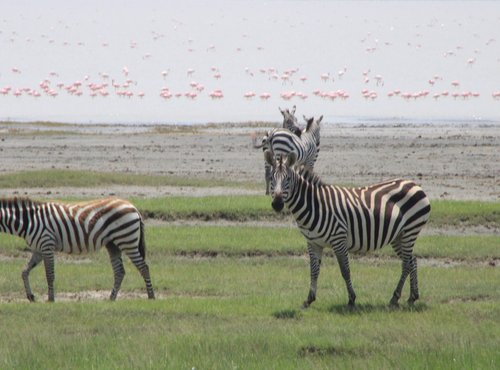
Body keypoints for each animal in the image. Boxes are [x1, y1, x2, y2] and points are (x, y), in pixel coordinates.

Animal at [0, 197, 155, 300]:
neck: (29, 221)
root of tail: (133, 207)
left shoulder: (47, 245)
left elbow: (49, 275)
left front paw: (51, 300)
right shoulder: (38, 250)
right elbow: (24, 272)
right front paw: (31, 296)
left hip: (127, 240)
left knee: (144, 267)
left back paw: (151, 296)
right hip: (113, 244)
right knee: (120, 272)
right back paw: (111, 298)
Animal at [264, 151, 432, 310]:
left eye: (287, 179)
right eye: (271, 178)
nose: (277, 204)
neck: (315, 205)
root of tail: (414, 184)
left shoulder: (339, 239)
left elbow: (345, 270)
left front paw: (351, 299)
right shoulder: (313, 243)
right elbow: (314, 270)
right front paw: (309, 299)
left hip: (410, 230)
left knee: (406, 264)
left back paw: (395, 298)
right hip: (399, 236)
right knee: (412, 260)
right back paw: (412, 297)